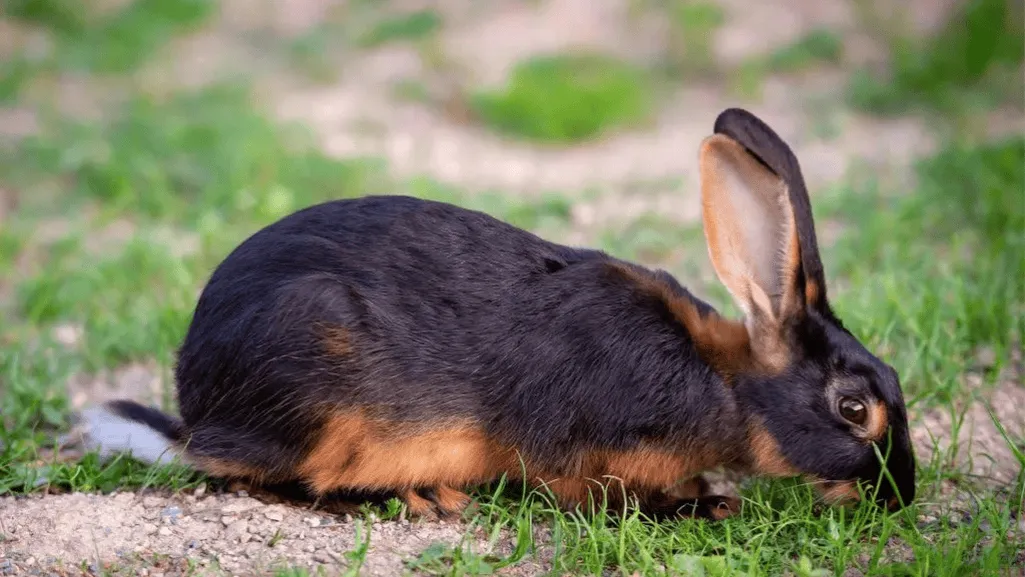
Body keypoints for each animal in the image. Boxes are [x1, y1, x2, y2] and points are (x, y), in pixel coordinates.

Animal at [77, 108, 916, 521]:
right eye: (854, 408)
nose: (900, 494)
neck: (724, 383)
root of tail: (196, 414)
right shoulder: (581, 452)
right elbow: (592, 494)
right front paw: (702, 504)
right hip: (315, 384)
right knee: (276, 479)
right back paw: (420, 497)